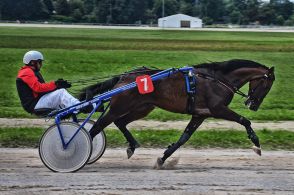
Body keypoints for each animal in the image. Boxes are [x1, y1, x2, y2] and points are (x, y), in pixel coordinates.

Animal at [78, 58, 276, 167]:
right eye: (267, 85)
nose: (253, 105)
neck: (219, 79)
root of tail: (124, 76)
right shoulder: (218, 109)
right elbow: (244, 120)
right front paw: (256, 143)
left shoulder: (200, 114)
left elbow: (184, 138)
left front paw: (163, 158)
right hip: (120, 106)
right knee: (96, 127)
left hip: (143, 107)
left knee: (120, 122)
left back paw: (132, 146)